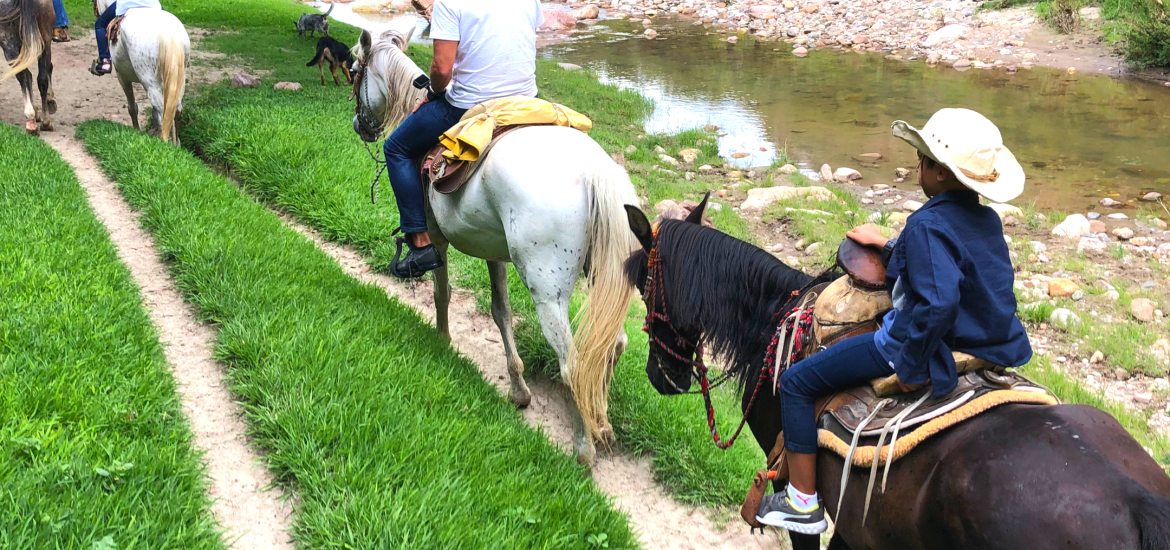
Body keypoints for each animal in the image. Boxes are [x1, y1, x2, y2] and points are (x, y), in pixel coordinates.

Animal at [0, 0, 54, 132]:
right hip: (44, 40)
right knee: (40, 78)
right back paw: (43, 120)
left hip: (10, 44)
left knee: (24, 76)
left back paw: (31, 119)